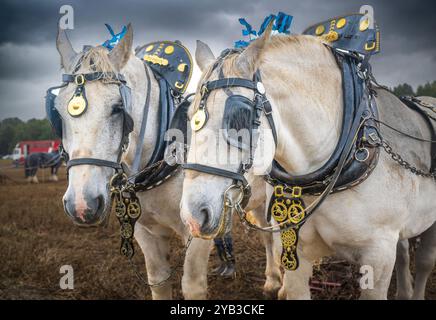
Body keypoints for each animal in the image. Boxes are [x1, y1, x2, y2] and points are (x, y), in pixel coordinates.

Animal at [54, 23, 280, 298]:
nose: (81, 205)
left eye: (118, 108)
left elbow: (192, 285)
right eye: (57, 112)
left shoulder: (198, 228)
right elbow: (158, 279)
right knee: (266, 234)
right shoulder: (144, 230)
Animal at [182, 25, 436, 300]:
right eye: (189, 115)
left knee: (424, 262)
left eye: (240, 116)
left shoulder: (378, 256)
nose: (192, 217)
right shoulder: (296, 249)